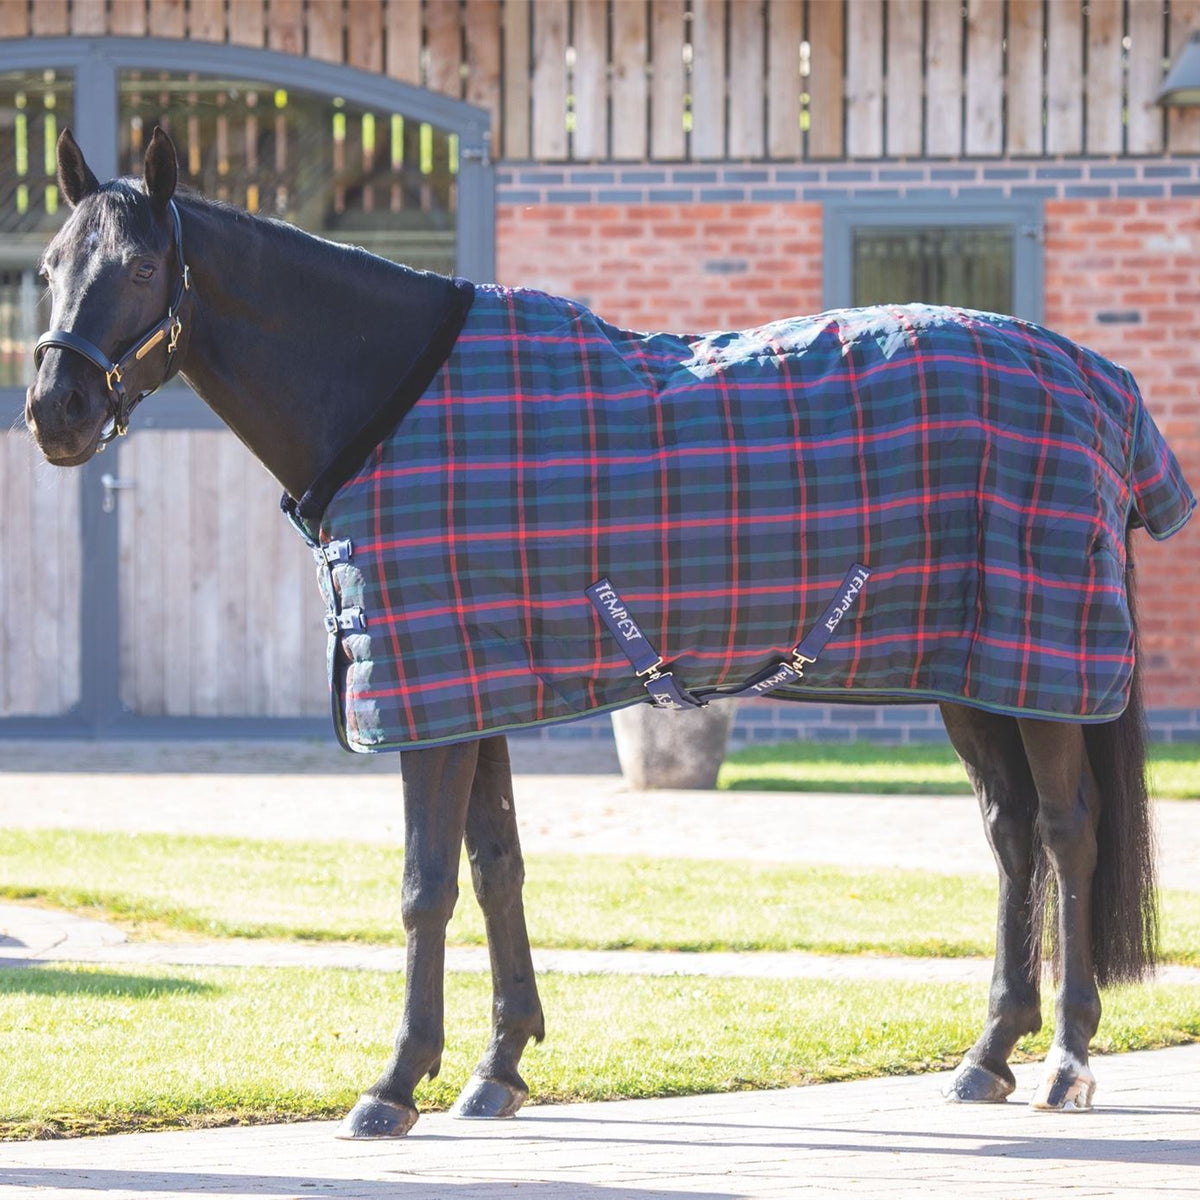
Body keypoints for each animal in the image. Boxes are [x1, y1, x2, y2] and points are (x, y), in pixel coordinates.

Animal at [24, 128, 1193, 1138]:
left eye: (141, 266)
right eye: (47, 265)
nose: (53, 410)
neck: (392, 396)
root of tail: (1103, 384)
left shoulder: (427, 699)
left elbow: (424, 887)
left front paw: (395, 1083)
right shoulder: (470, 686)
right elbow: (495, 866)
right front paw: (498, 1070)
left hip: (1042, 671)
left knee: (1067, 832)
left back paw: (1068, 1062)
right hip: (976, 675)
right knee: (1009, 835)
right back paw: (988, 1055)